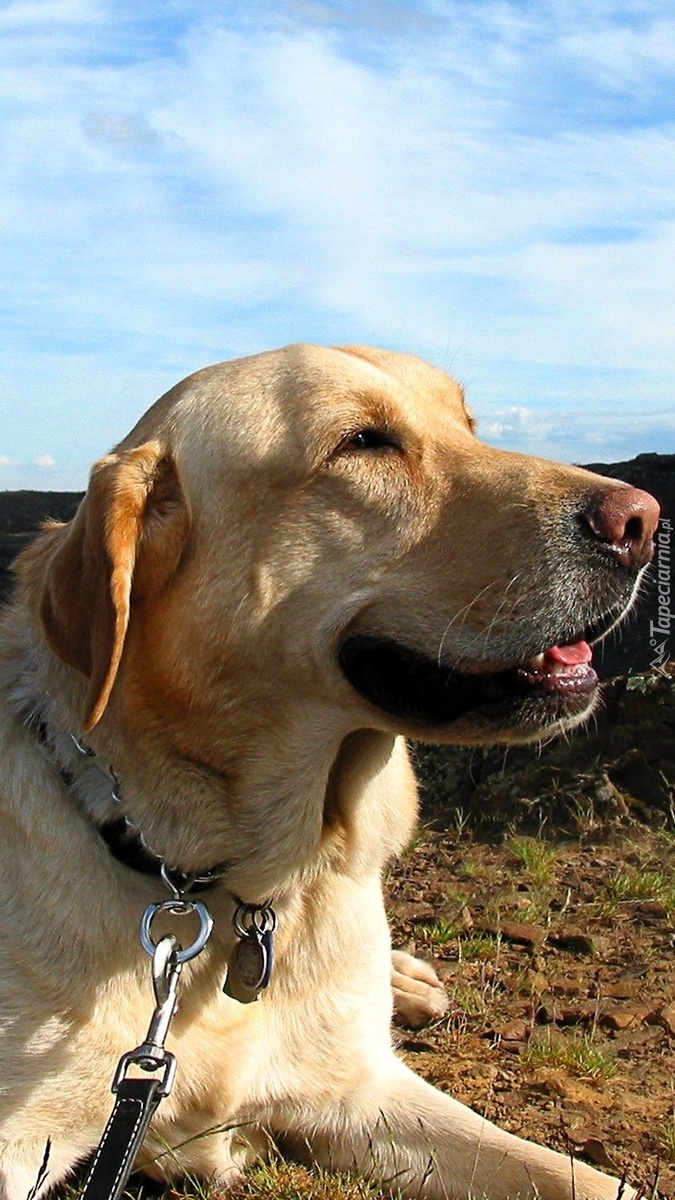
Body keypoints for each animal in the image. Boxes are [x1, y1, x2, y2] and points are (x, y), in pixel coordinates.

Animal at [0, 343, 653, 1195]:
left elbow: (588, 1179)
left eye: (469, 424)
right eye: (362, 443)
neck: (239, 887)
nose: (642, 521)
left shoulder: (365, 1093)